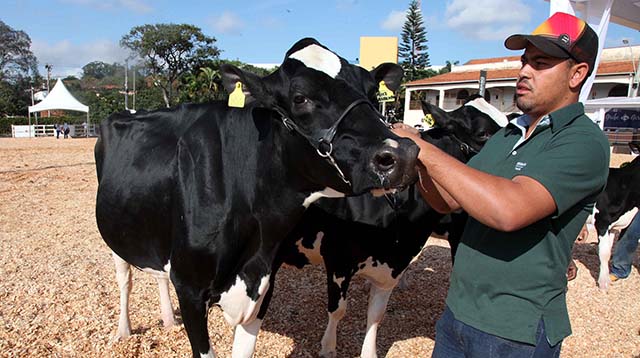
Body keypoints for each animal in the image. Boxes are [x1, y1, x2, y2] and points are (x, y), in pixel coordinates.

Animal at [94, 37, 420, 356]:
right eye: (300, 97)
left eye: (372, 92)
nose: (402, 154)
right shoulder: (190, 288)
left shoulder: (263, 284)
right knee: (125, 280)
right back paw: (123, 331)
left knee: (159, 273)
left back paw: (167, 319)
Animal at [252, 96, 508, 358]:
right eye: (483, 133)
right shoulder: (338, 259)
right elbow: (337, 308)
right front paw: (328, 347)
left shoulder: (391, 267)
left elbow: (376, 315)